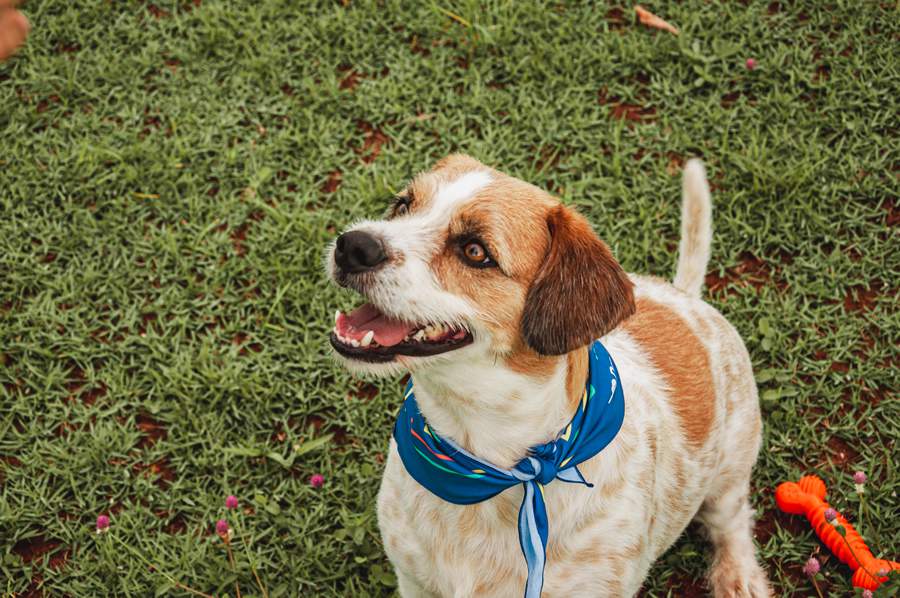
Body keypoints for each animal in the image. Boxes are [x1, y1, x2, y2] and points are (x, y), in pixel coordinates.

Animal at [326, 156, 768, 598]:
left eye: (475, 251)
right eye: (403, 205)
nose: (354, 245)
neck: (491, 463)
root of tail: (685, 298)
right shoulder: (415, 581)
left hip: (729, 471)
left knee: (732, 520)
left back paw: (739, 575)